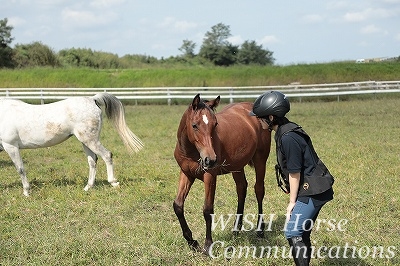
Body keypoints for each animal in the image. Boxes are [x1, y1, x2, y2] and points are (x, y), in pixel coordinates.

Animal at [0, 93, 144, 195]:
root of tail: (92, 99)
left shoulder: (11, 146)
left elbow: (20, 169)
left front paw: (26, 192)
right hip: (86, 142)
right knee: (93, 161)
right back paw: (88, 187)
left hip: (90, 140)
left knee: (107, 155)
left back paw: (113, 183)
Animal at [173, 93, 270, 254]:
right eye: (194, 125)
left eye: (215, 125)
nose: (210, 159)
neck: (191, 152)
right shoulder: (186, 174)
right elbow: (178, 206)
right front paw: (192, 242)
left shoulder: (210, 176)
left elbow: (207, 210)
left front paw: (208, 245)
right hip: (238, 166)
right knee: (241, 188)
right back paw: (236, 230)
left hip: (260, 160)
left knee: (259, 190)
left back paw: (260, 230)